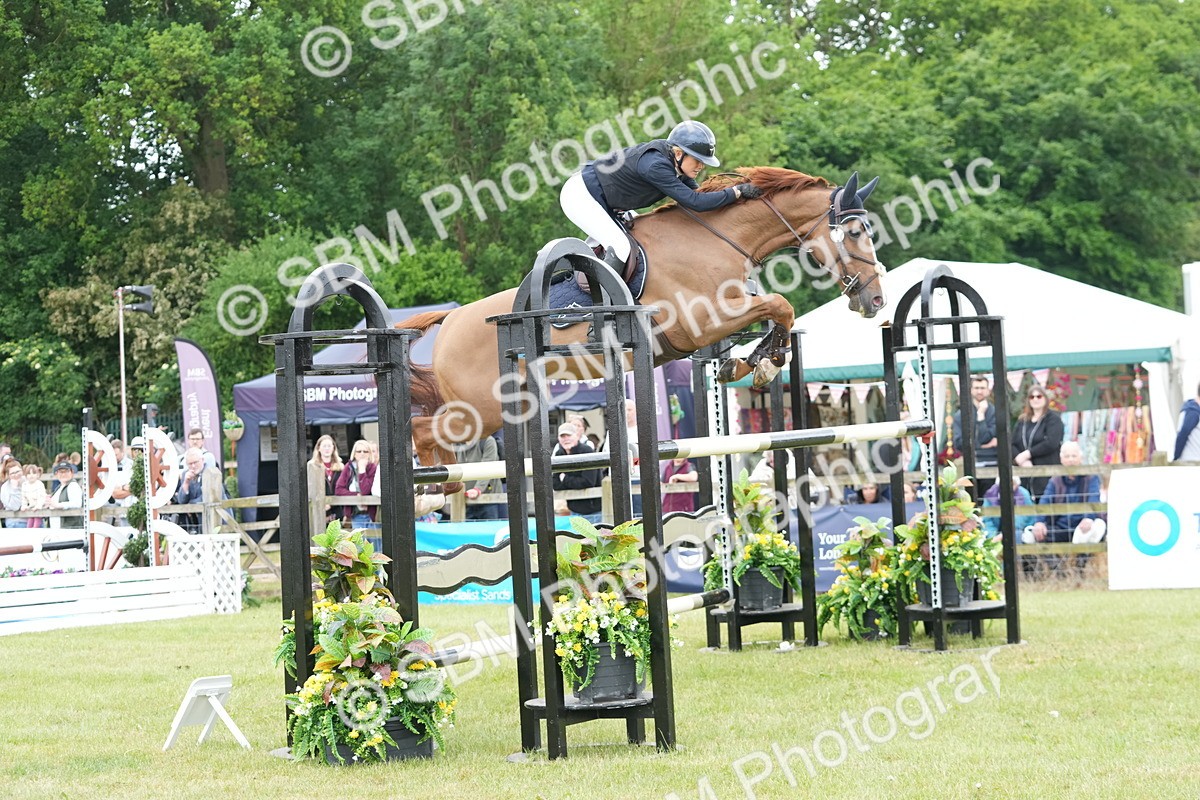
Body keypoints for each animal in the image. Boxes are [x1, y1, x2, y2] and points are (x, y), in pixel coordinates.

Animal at [398, 167, 885, 478]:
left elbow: (774, 313)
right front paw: (762, 362)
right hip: (480, 407)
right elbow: (780, 304)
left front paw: (753, 362)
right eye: (854, 233)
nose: (875, 300)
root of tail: (455, 317)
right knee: (424, 431)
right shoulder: (699, 323)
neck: (717, 239)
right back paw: (434, 487)